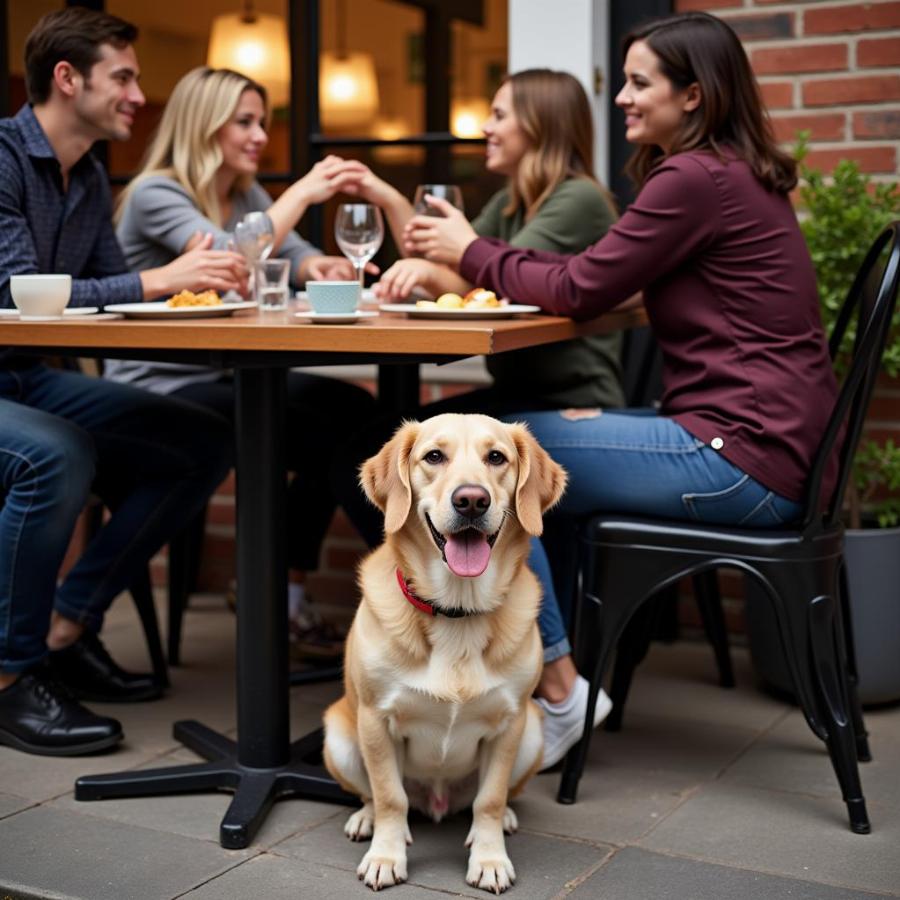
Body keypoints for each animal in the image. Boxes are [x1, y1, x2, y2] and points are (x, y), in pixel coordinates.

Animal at [324, 414, 564, 892]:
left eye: (497, 457)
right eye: (434, 456)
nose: (471, 500)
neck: (458, 611)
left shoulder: (510, 724)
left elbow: (489, 799)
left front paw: (490, 859)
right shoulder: (375, 720)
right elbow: (389, 797)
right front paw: (386, 856)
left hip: (532, 732)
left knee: (491, 798)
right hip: (339, 737)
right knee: (372, 794)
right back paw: (365, 820)